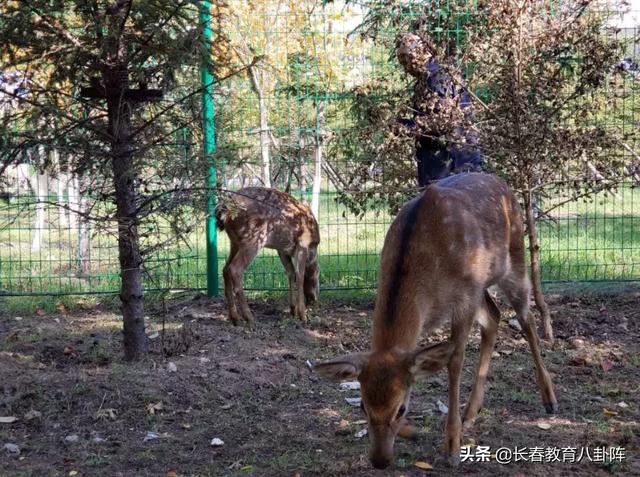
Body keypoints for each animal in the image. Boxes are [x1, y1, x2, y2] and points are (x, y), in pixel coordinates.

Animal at [216, 187, 320, 324]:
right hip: (254, 238)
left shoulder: (282, 250)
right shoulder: (302, 244)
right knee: (235, 269)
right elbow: (299, 275)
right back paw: (249, 317)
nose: (313, 300)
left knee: (225, 269)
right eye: (317, 278)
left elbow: (290, 273)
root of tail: (226, 209)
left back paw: (235, 318)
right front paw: (303, 315)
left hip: (234, 241)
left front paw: (293, 310)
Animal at [316, 173, 556, 466]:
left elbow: (454, 361)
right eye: (363, 405)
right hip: (482, 286)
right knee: (494, 316)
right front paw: (414, 432)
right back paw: (471, 411)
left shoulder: (464, 296)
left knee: (526, 318)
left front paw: (452, 445)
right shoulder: (468, 292)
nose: (380, 460)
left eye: (401, 408)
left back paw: (549, 399)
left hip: (515, 259)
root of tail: (502, 183)